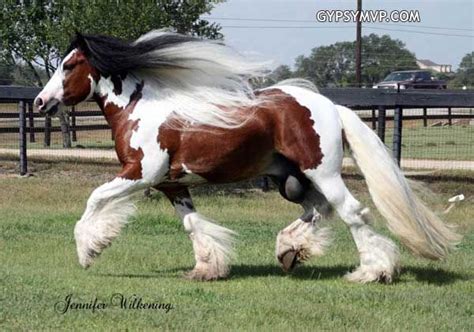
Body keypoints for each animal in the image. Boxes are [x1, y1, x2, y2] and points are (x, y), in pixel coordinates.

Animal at [35, 31, 462, 282]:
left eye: (68, 65)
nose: (40, 102)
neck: (140, 111)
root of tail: (329, 105)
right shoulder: (171, 184)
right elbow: (192, 224)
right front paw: (207, 268)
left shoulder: (141, 172)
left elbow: (95, 199)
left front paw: (89, 250)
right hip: (289, 180)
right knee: (317, 210)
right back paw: (289, 250)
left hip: (321, 171)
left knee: (351, 211)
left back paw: (371, 271)